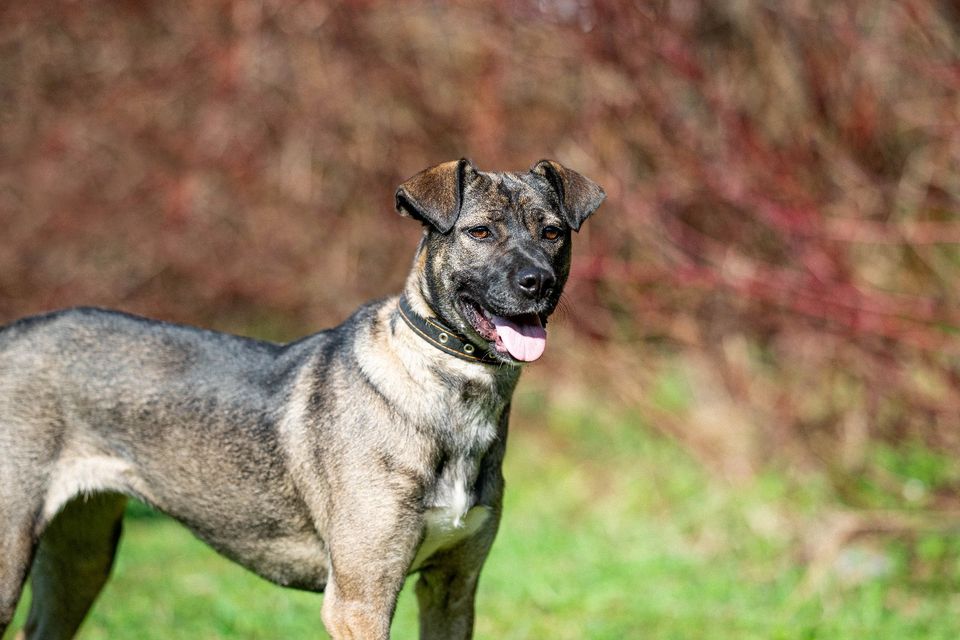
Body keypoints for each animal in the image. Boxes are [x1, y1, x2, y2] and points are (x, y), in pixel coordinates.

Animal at [0, 159, 600, 640]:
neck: (445, 391)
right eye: (480, 231)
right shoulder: (360, 601)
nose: (538, 282)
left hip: (81, 556)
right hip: (12, 555)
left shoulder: (453, 588)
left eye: (552, 233)